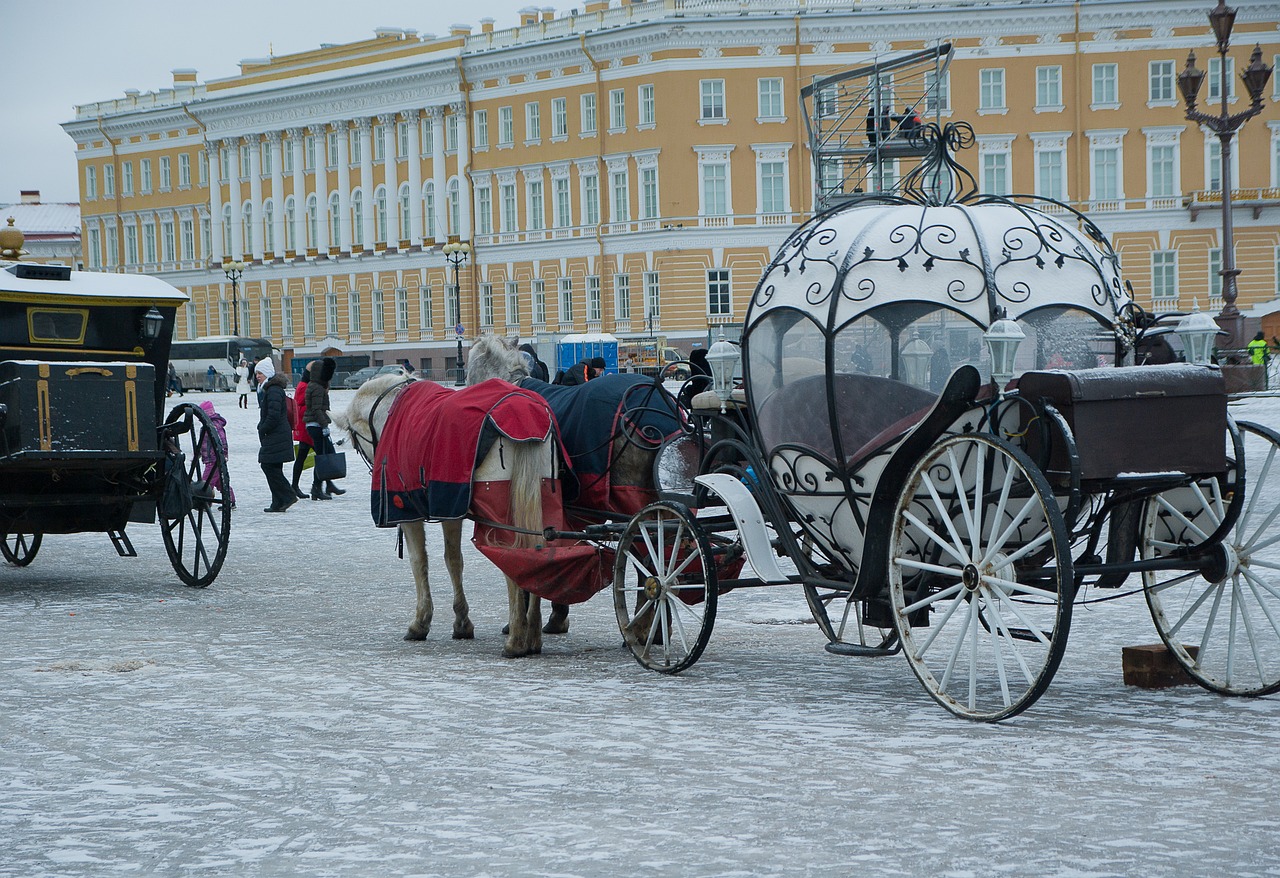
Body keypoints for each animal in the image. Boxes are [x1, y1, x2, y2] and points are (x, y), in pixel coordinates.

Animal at [335, 373, 550, 660]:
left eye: (354, 440)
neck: (391, 410)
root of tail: (525, 415)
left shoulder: (408, 510)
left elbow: (419, 561)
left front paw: (420, 622)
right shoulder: (450, 507)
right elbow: (454, 560)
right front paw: (462, 622)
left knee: (513, 559)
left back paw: (516, 639)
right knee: (539, 554)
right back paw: (534, 634)